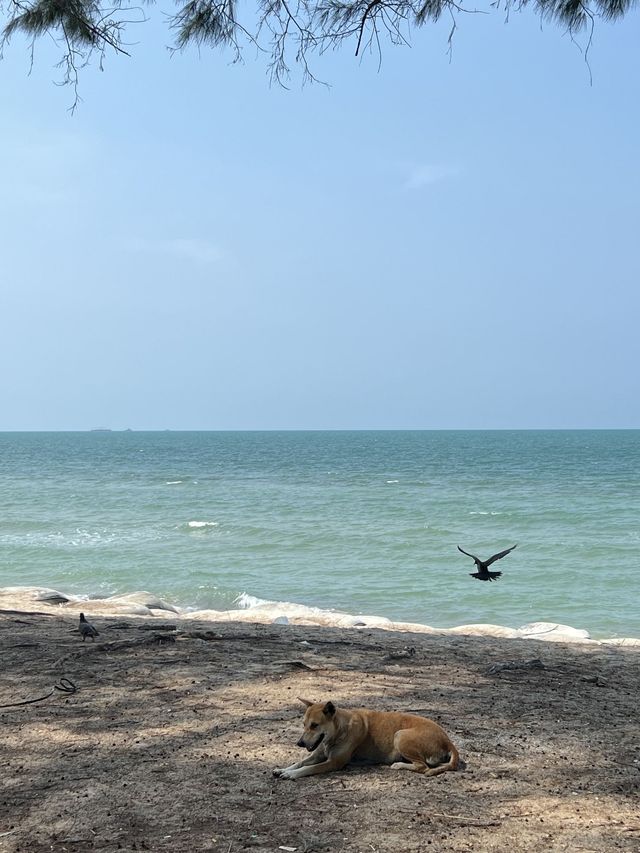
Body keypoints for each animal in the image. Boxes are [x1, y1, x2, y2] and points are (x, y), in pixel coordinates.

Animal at [272, 700, 458, 780]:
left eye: (314, 725)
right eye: (304, 724)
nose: (300, 743)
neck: (339, 730)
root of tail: (448, 741)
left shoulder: (333, 763)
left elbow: (307, 769)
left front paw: (291, 774)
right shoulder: (317, 754)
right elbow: (300, 763)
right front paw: (283, 769)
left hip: (400, 735)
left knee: (422, 766)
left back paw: (398, 765)